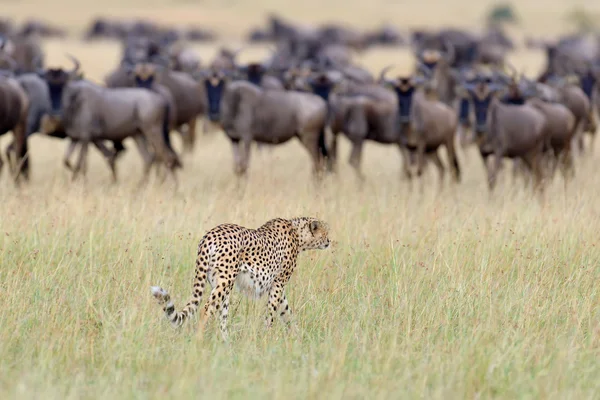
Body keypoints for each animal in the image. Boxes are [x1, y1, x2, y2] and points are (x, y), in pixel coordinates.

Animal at [148, 217, 330, 340]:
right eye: (325, 232)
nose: (329, 241)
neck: (298, 234)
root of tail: (209, 235)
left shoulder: (276, 286)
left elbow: (286, 311)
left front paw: (297, 335)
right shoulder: (278, 283)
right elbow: (272, 312)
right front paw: (267, 336)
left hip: (221, 283)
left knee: (222, 316)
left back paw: (226, 343)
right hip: (225, 281)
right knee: (206, 309)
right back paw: (199, 339)